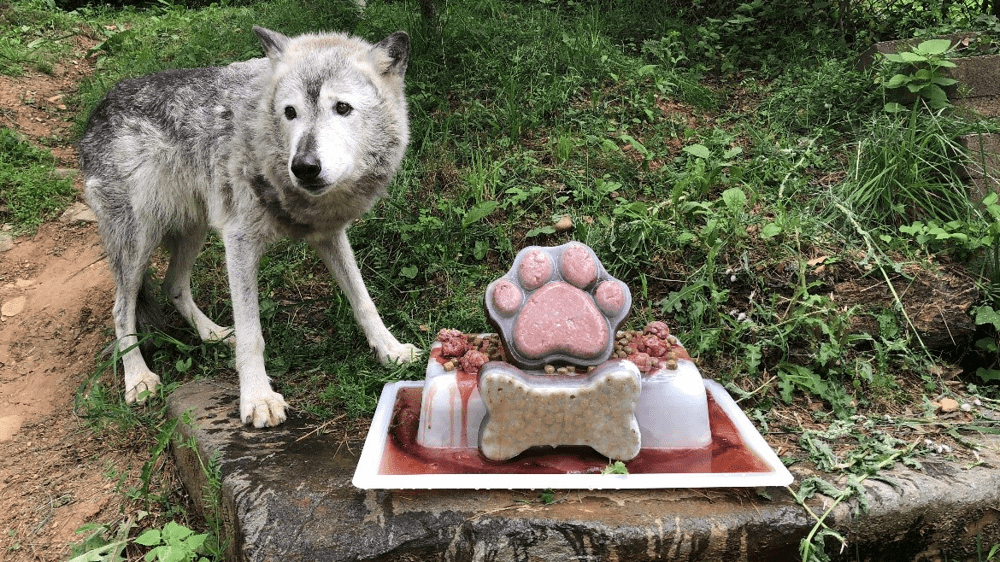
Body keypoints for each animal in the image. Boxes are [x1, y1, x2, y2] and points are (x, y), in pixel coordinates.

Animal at [78, 27, 420, 424]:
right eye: (290, 112)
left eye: (343, 108)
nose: (304, 167)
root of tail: (99, 108)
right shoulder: (239, 241)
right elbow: (251, 333)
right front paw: (258, 398)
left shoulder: (329, 234)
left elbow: (364, 300)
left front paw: (391, 350)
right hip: (138, 244)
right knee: (122, 311)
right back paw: (138, 378)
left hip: (194, 231)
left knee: (172, 286)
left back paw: (212, 334)